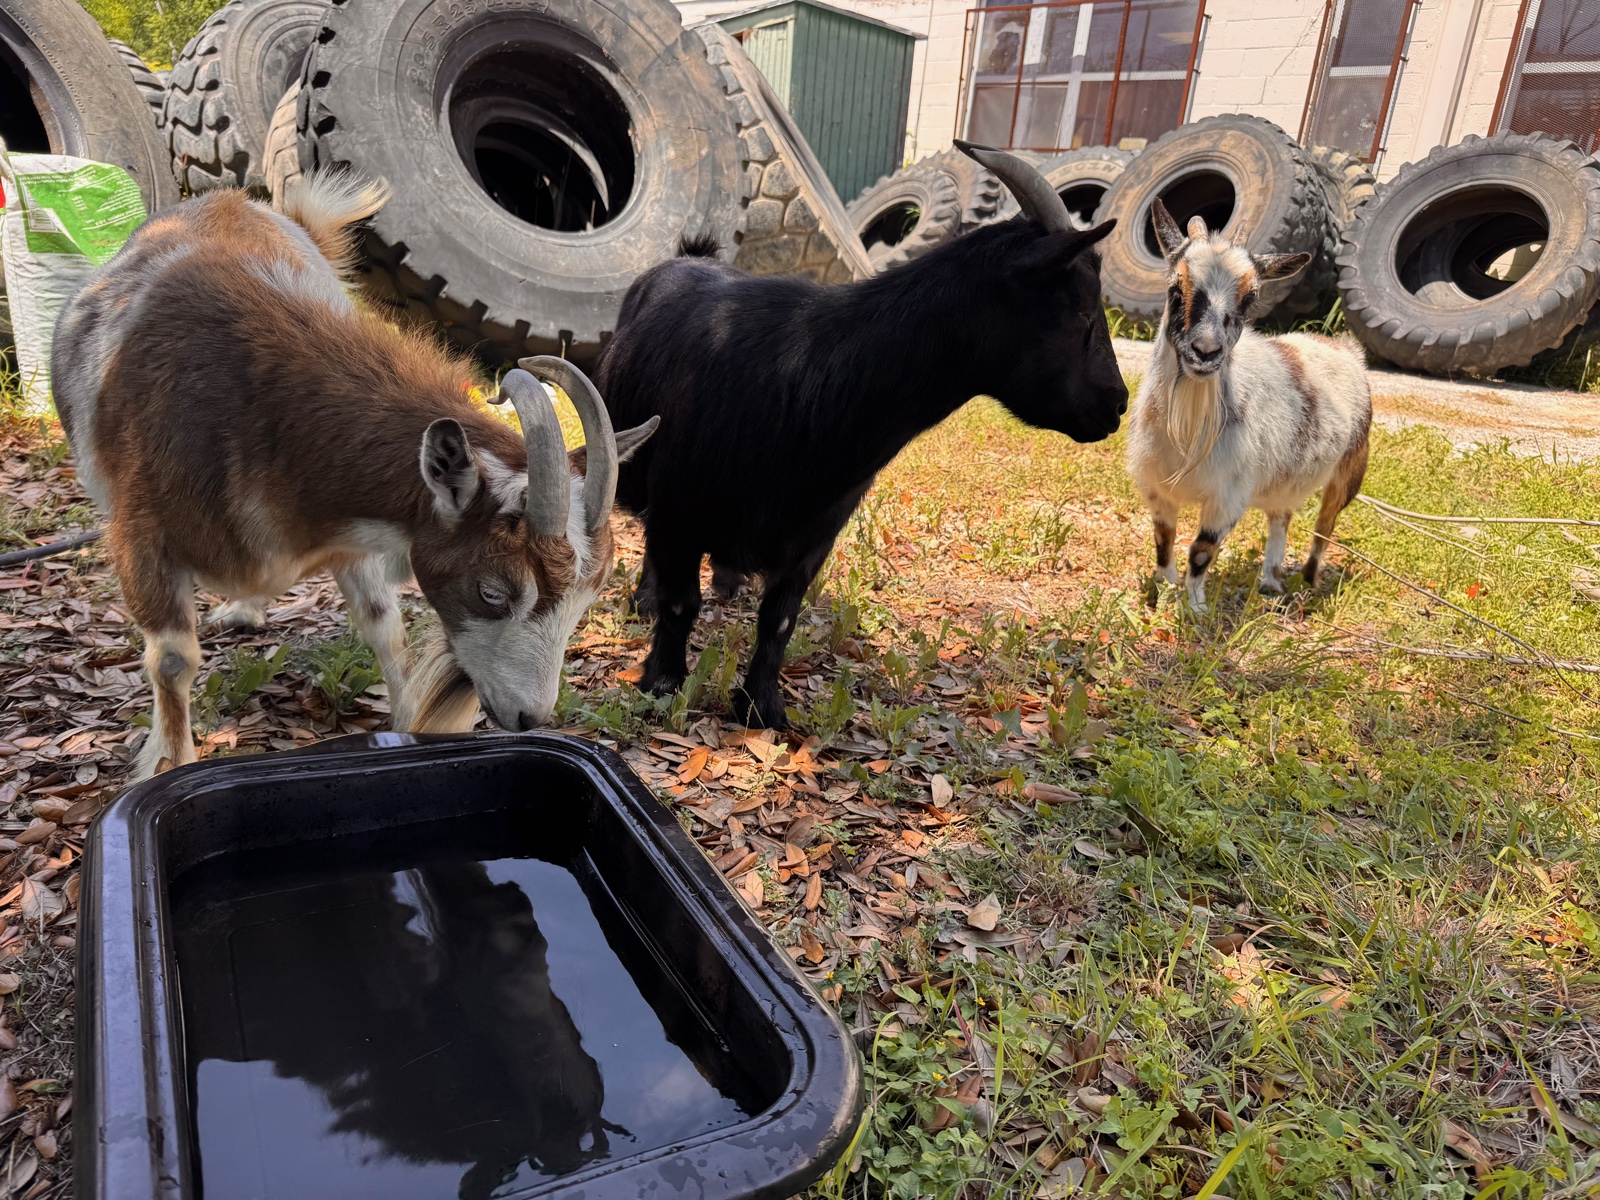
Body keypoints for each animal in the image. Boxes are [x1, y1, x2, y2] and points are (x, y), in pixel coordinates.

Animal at [51, 177, 656, 778]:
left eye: (587, 599)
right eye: (492, 591)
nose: (530, 717)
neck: (253, 405)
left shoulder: (353, 539)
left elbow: (385, 627)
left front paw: (405, 725)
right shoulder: (141, 536)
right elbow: (173, 659)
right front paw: (167, 763)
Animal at [596, 142, 1128, 728]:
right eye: (1080, 310)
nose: (1118, 404)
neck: (804, 377)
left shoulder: (816, 536)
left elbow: (779, 619)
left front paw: (763, 707)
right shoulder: (679, 513)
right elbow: (679, 603)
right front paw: (663, 684)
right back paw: (643, 599)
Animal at [1126, 201, 1371, 611]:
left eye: (1250, 298)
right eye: (1175, 289)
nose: (1206, 351)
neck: (1189, 432)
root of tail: (1345, 348)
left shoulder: (1228, 496)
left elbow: (1201, 551)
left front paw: (1196, 607)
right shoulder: (1156, 487)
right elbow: (1163, 540)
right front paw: (1161, 590)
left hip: (1350, 469)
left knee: (1324, 527)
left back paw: (1308, 580)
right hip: (1285, 476)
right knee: (1281, 517)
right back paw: (1270, 580)